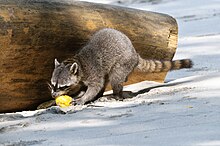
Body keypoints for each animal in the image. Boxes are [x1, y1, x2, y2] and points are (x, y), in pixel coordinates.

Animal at [50, 28, 192, 104]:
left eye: (62, 86)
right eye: (52, 84)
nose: (53, 95)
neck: (78, 62)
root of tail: (135, 53)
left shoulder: (92, 71)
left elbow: (95, 86)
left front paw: (83, 98)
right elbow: (82, 86)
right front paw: (78, 94)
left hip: (123, 62)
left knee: (115, 77)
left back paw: (116, 95)